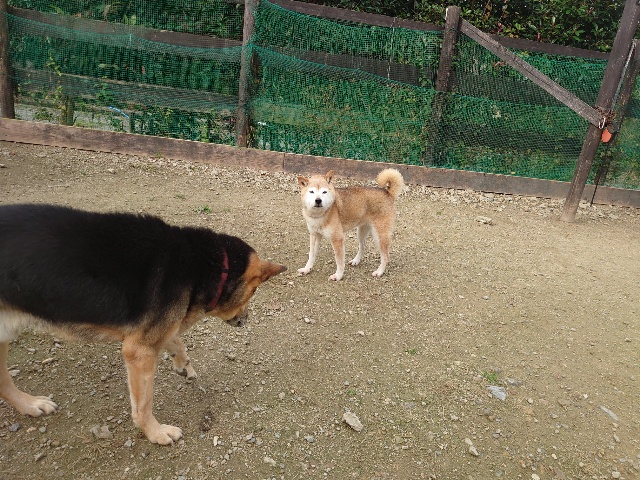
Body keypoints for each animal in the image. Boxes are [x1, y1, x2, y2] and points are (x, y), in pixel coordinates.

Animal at [0, 203, 286, 445]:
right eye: (254, 292)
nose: (246, 320)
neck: (204, 265)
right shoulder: (140, 351)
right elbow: (144, 403)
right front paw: (155, 432)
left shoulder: (154, 331)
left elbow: (176, 340)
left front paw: (183, 365)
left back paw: (30, 405)